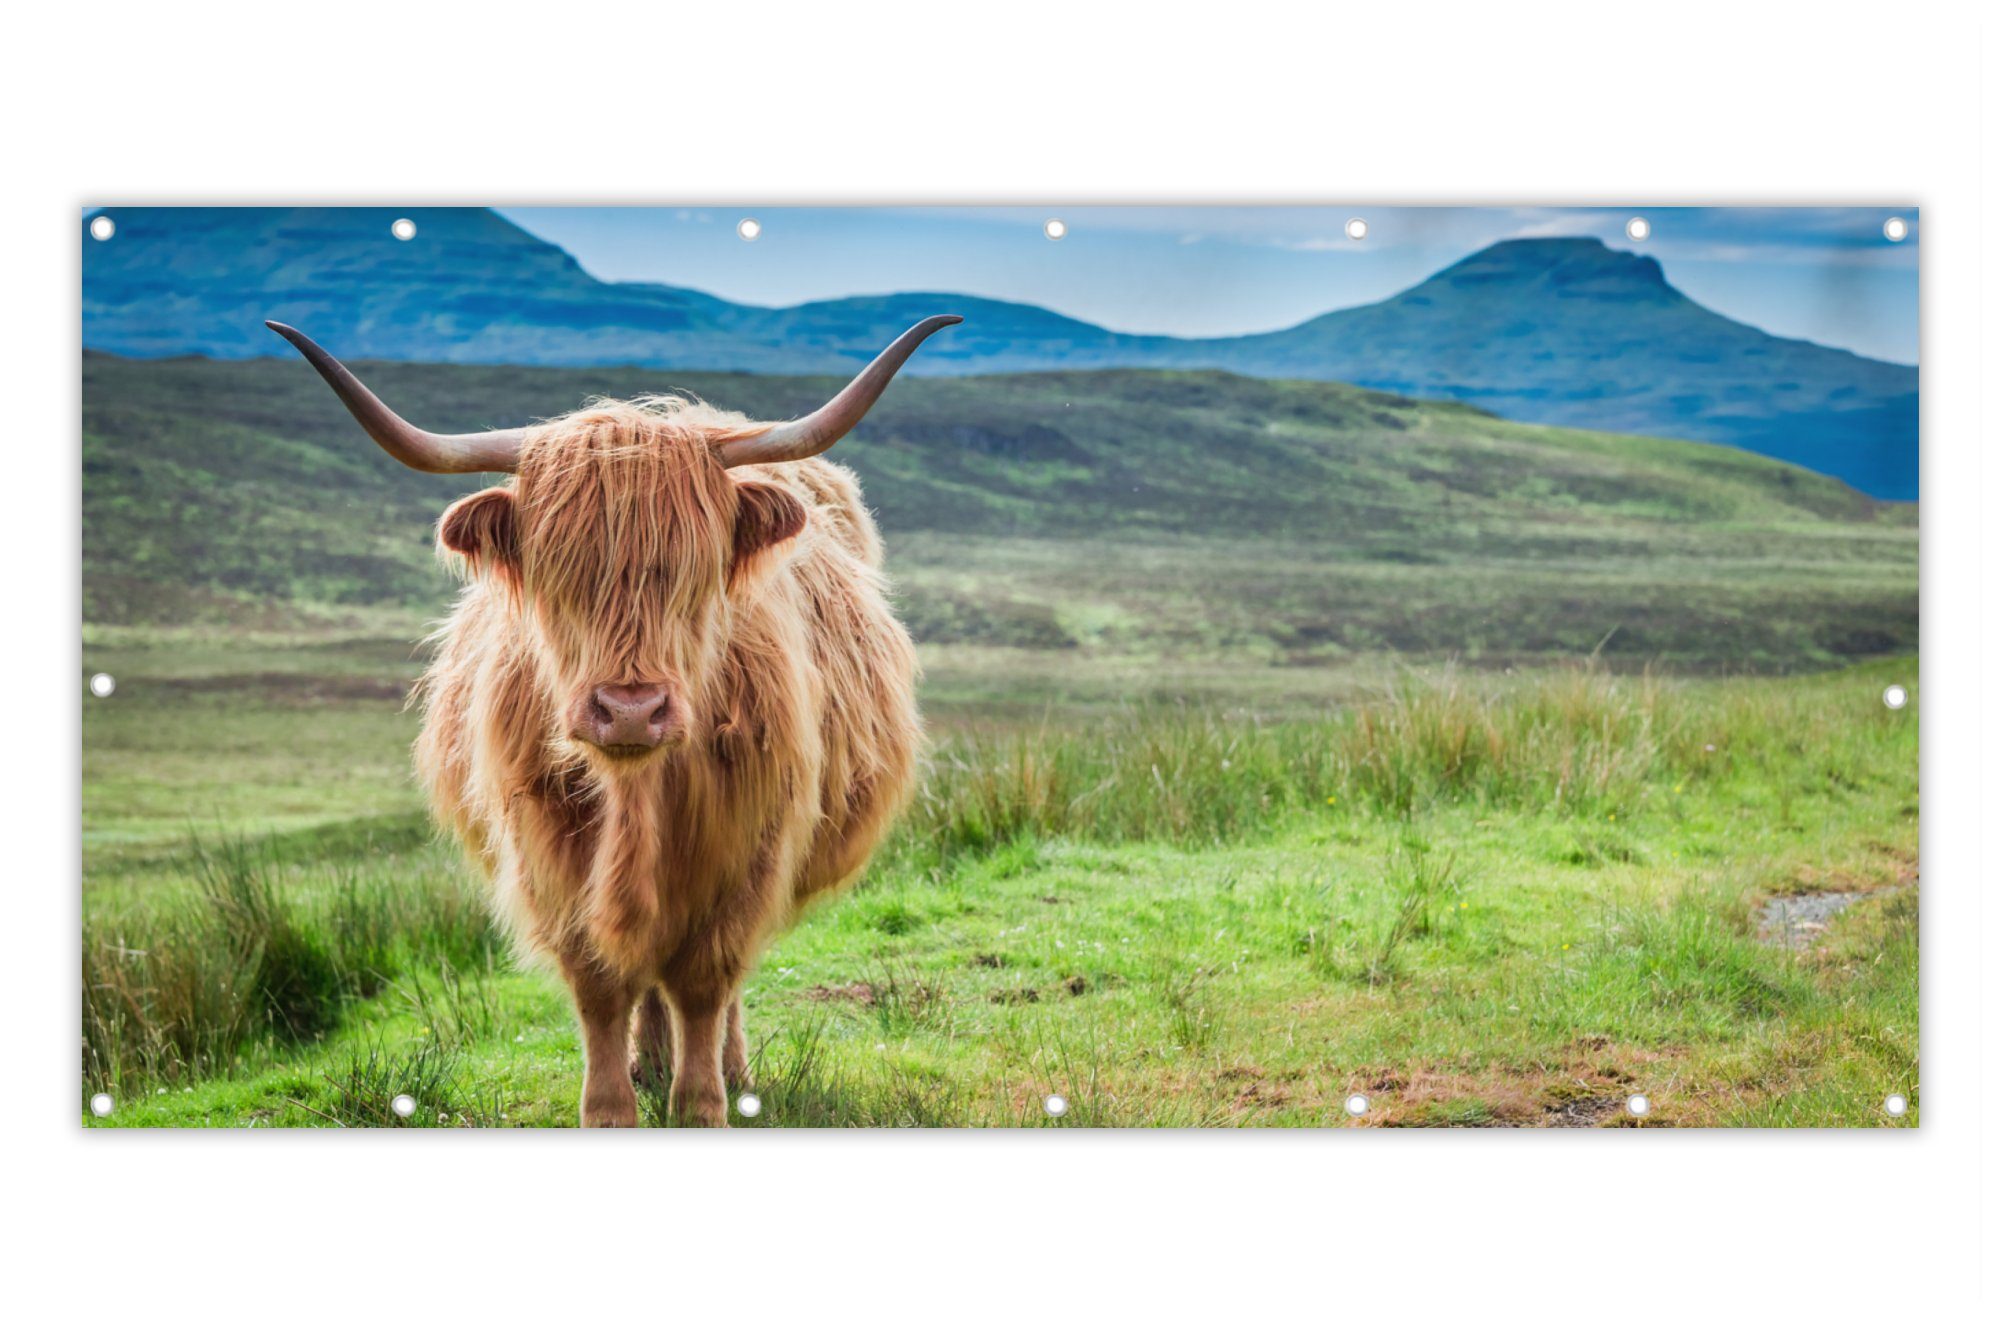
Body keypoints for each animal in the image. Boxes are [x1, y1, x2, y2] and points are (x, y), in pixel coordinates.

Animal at [267, 316, 958, 1126]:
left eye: (695, 573)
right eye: (558, 574)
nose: (631, 710)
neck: (638, 796)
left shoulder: (748, 852)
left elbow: (706, 981)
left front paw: (702, 1103)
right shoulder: (549, 857)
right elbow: (600, 987)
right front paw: (611, 1106)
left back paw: (727, 1068)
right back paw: (648, 1062)